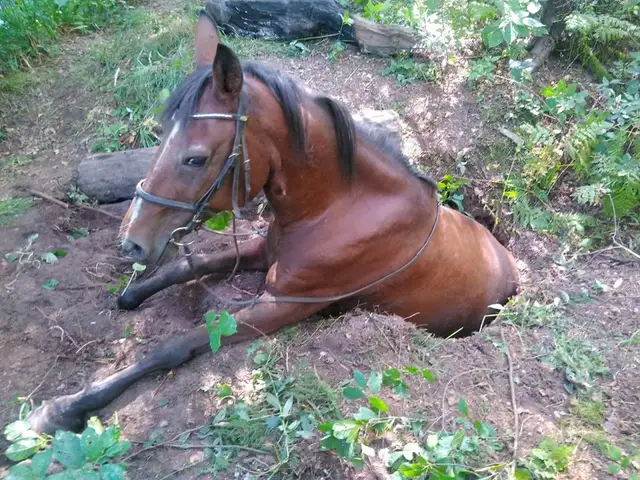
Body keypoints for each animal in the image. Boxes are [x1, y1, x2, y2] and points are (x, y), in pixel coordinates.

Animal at [26, 10, 519, 435]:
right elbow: (188, 266)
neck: (340, 210)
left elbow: (176, 345)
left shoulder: (284, 304)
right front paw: (132, 294)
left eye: (195, 158)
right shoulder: (264, 251)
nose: (131, 242)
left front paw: (64, 408)